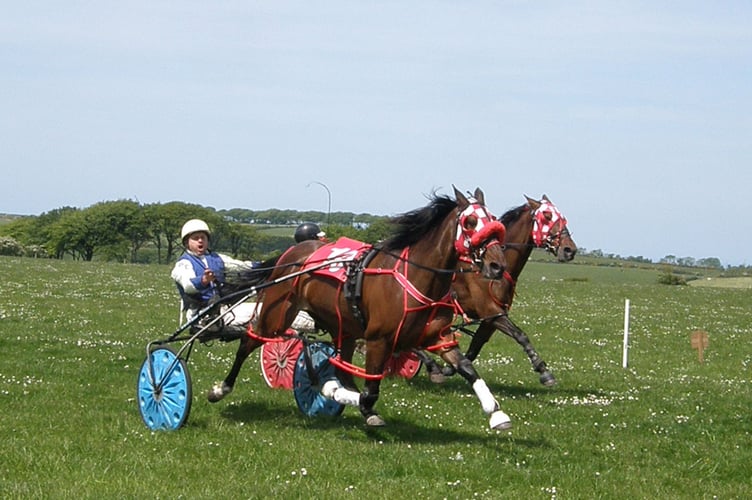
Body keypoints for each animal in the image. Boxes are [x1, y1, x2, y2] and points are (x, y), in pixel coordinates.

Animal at [210, 188, 516, 430]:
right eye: (470, 222)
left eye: (494, 221)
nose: (497, 266)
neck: (416, 277)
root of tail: (293, 252)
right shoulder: (378, 340)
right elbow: (369, 392)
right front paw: (336, 392)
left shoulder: (436, 337)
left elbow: (467, 367)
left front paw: (496, 412)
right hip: (277, 314)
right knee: (249, 341)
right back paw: (221, 389)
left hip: (342, 327)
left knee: (343, 366)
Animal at [420, 195, 580, 386]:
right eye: (547, 216)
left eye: (562, 217)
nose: (569, 250)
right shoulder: (491, 311)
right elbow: (520, 335)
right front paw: (543, 370)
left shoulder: (491, 318)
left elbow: (476, 346)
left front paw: (451, 367)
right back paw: (431, 365)